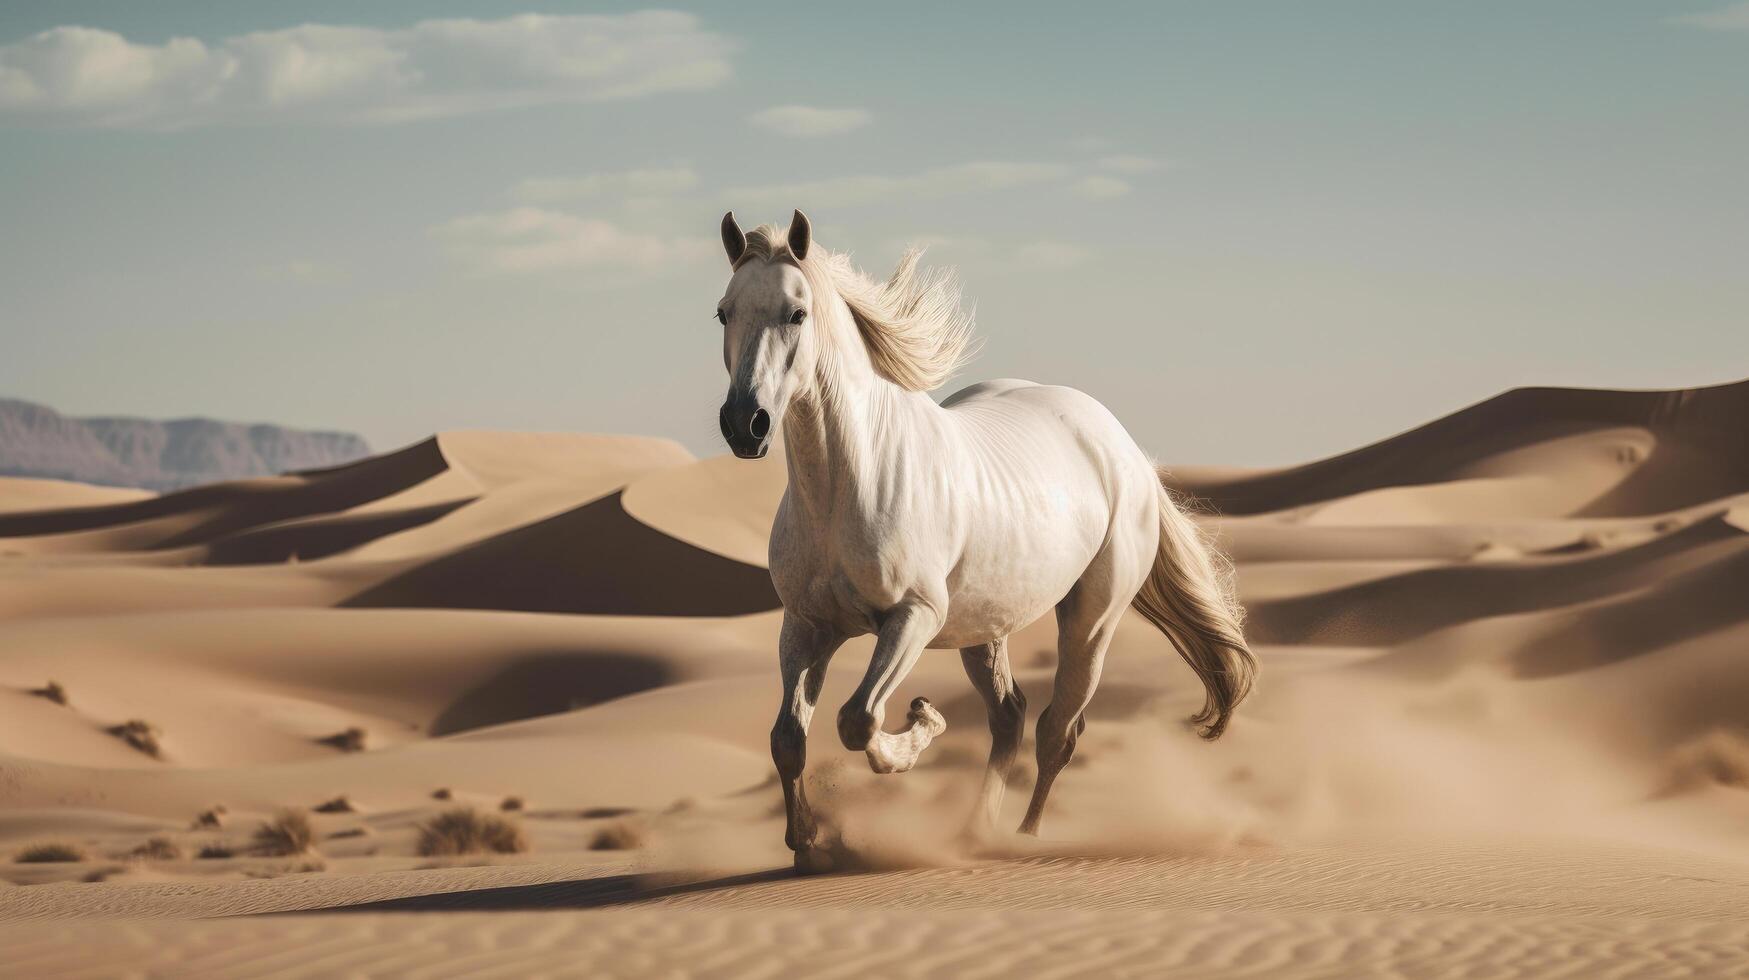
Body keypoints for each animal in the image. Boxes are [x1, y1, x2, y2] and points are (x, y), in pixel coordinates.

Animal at [710, 208, 1259, 864]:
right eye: (724, 312)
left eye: (797, 313)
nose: (745, 424)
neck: (847, 487)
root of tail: (1124, 448)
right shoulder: (806, 625)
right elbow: (788, 738)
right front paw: (804, 846)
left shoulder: (913, 617)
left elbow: (858, 719)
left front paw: (922, 724)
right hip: (983, 627)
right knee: (1010, 716)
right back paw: (974, 830)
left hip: (1090, 622)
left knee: (1056, 730)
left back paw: (1022, 836)